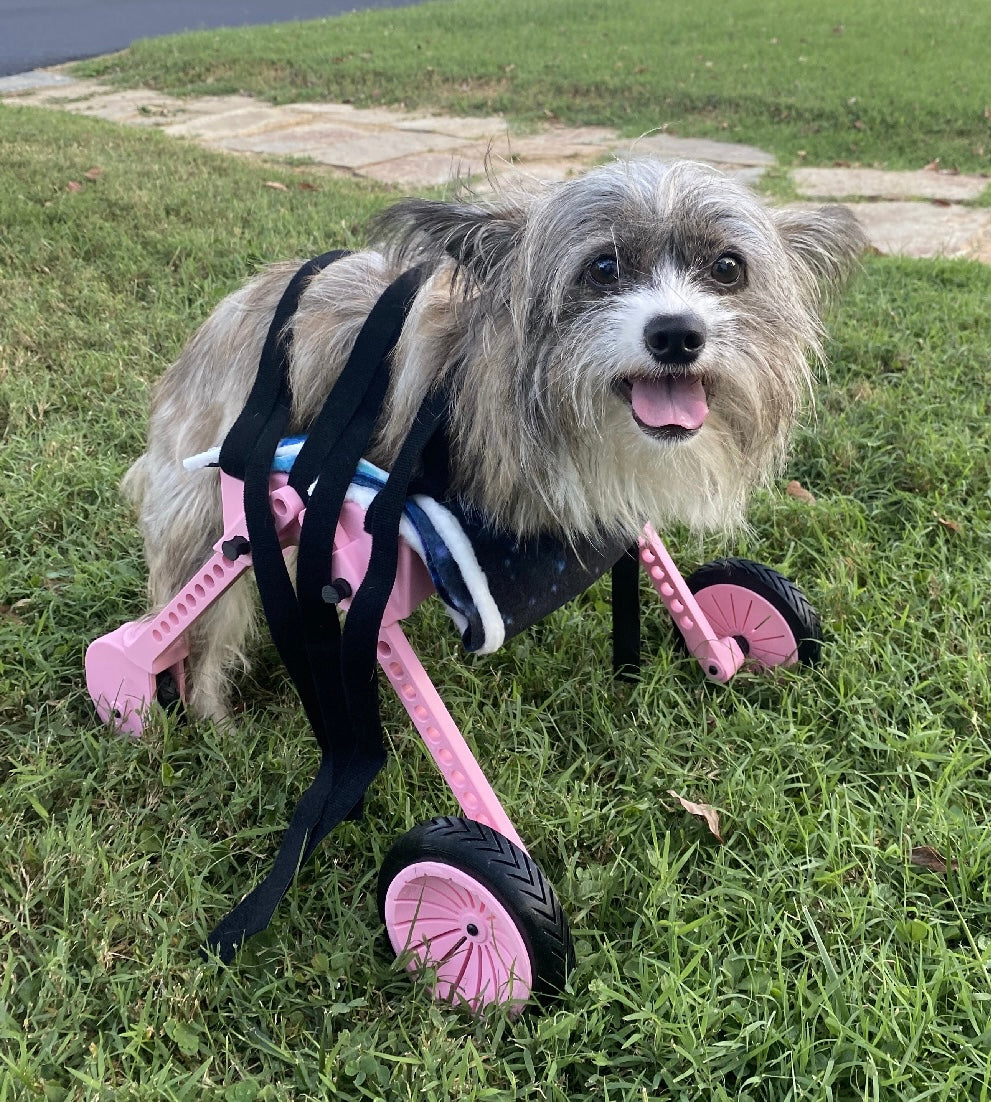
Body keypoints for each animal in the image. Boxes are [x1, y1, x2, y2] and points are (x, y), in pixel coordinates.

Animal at [121, 157, 868, 722]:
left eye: (726, 268)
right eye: (603, 269)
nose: (677, 335)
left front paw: (733, 642)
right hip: (222, 523)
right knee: (195, 627)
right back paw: (189, 711)